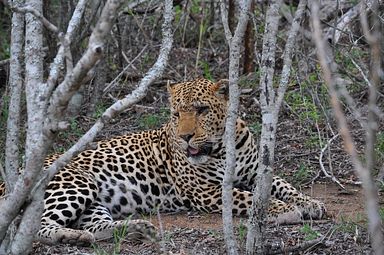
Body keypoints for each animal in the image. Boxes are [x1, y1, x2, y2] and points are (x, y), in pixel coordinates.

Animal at [0, 77, 324, 245]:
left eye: (202, 109)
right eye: (176, 114)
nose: (186, 137)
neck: (222, 145)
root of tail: (8, 180)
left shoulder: (256, 171)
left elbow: (283, 184)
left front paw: (310, 203)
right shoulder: (207, 191)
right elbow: (249, 198)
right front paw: (286, 210)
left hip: (95, 203)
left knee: (96, 227)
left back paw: (130, 230)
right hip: (77, 182)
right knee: (36, 228)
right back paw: (69, 236)